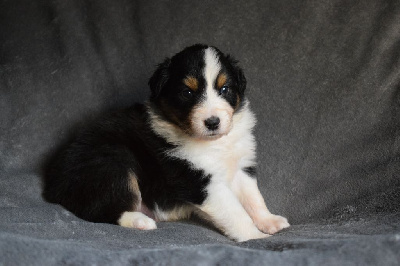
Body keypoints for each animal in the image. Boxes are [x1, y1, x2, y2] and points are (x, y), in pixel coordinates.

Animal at [43, 44, 290, 242]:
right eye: (187, 92)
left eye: (224, 89)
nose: (212, 122)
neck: (213, 144)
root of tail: (55, 181)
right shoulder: (199, 181)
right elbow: (235, 211)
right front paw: (255, 237)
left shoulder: (241, 166)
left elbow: (253, 197)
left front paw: (269, 221)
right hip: (112, 162)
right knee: (100, 210)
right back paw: (140, 221)